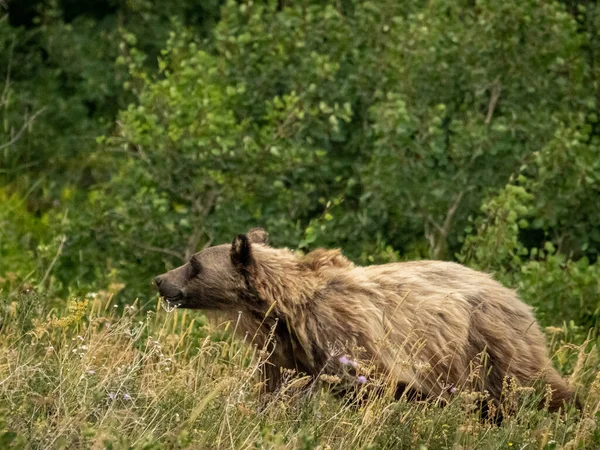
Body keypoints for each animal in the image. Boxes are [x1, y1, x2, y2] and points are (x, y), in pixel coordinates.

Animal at [155, 229, 580, 414]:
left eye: (193, 263)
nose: (160, 280)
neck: (285, 309)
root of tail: (515, 295)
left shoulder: (348, 338)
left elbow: (361, 384)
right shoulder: (287, 349)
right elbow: (274, 385)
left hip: (493, 342)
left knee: (535, 384)